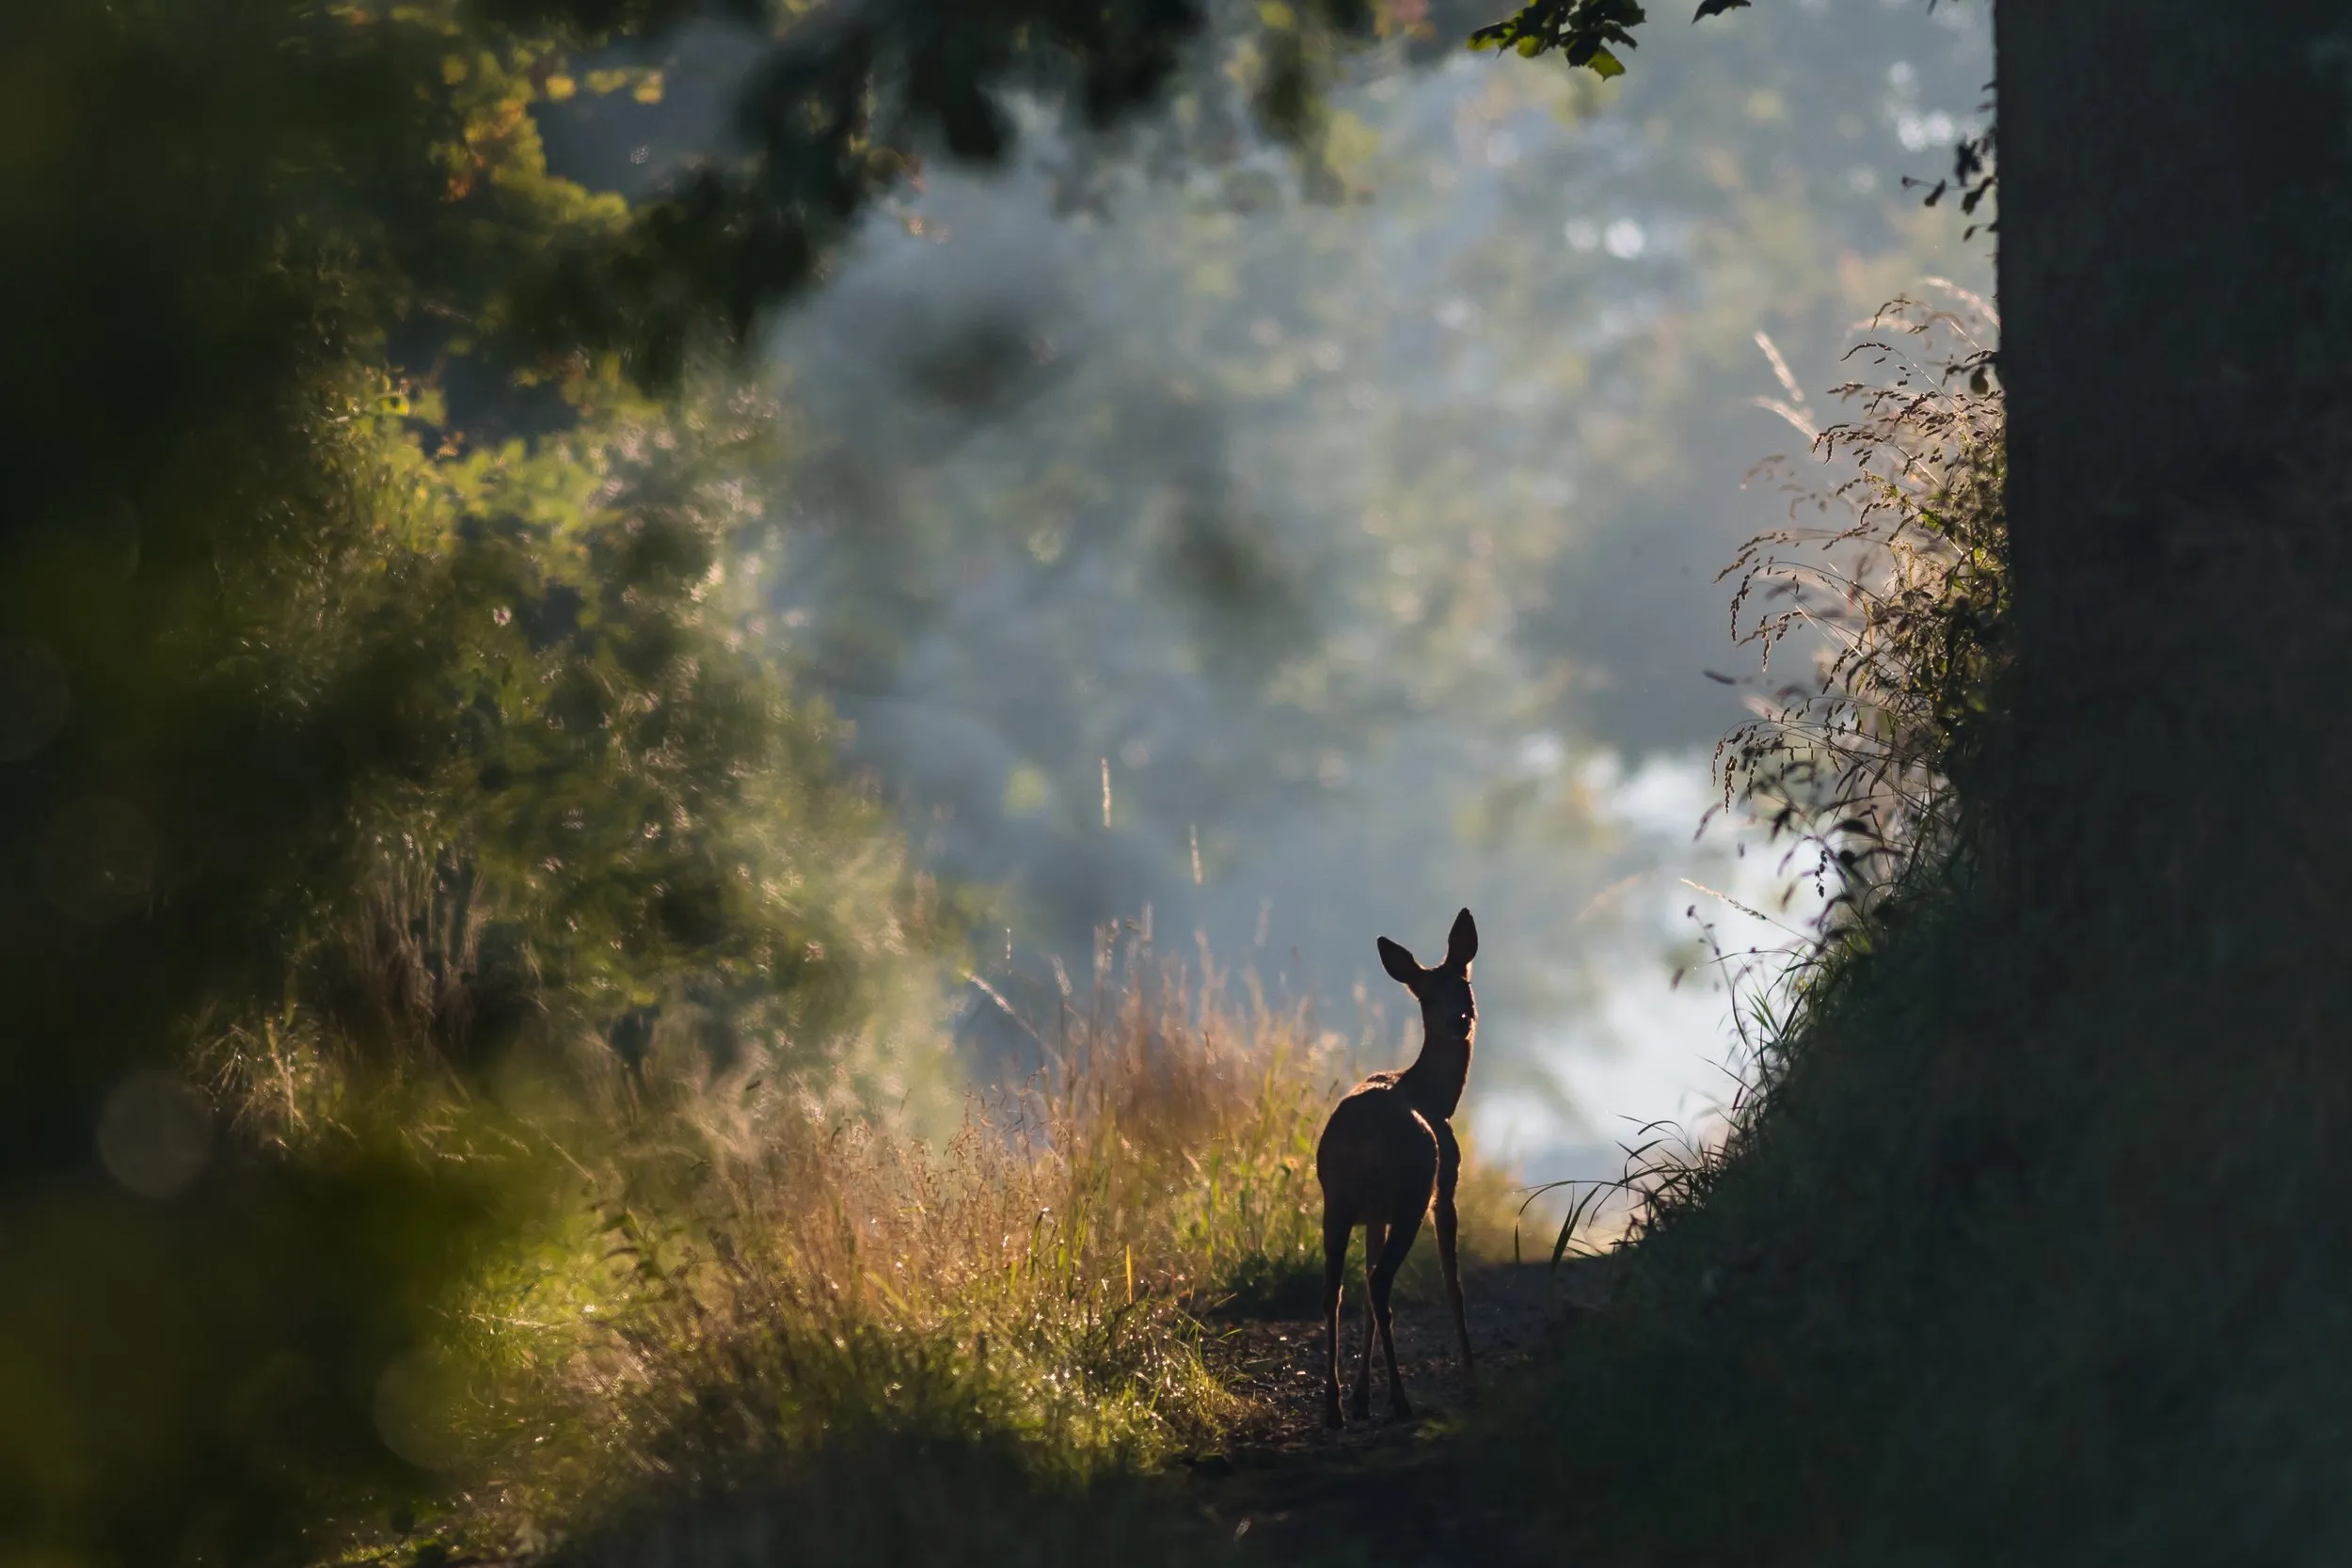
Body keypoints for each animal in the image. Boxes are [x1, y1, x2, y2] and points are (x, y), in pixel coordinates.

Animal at [1315, 907, 1478, 1427]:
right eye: (1427, 995)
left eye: (1462, 985)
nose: (1459, 1020)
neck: (1436, 1097)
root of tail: (1362, 1139)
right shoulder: (1445, 1189)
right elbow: (1454, 1285)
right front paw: (1472, 1378)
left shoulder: (1374, 1215)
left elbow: (1365, 1297)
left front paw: (1363, 1396)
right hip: (1410, 1196)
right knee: (1381, 1283)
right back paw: (1402, 1401)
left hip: (1335, 1202)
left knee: (1340, 1289)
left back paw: (1335, 1406)